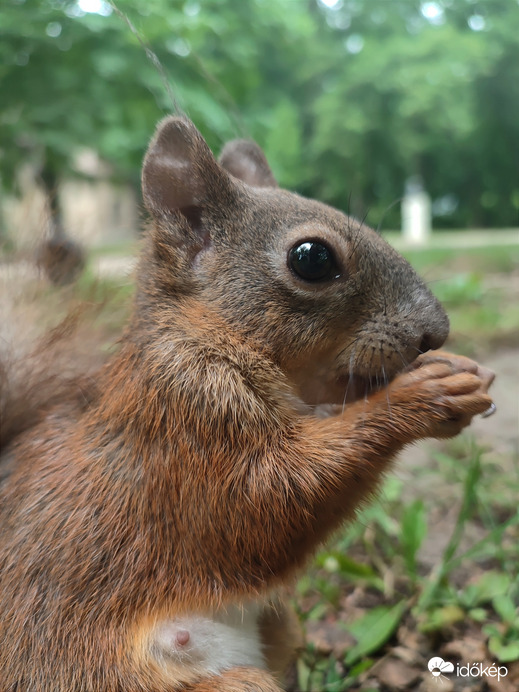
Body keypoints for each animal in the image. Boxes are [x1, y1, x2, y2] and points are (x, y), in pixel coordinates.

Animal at [0, 116, 496, 688]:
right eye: (312, 258)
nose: (436, 332)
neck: (208, 334)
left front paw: (462, 369)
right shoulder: (184, 418)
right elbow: (267, 501)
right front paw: (424, 394)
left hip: (280, 624)